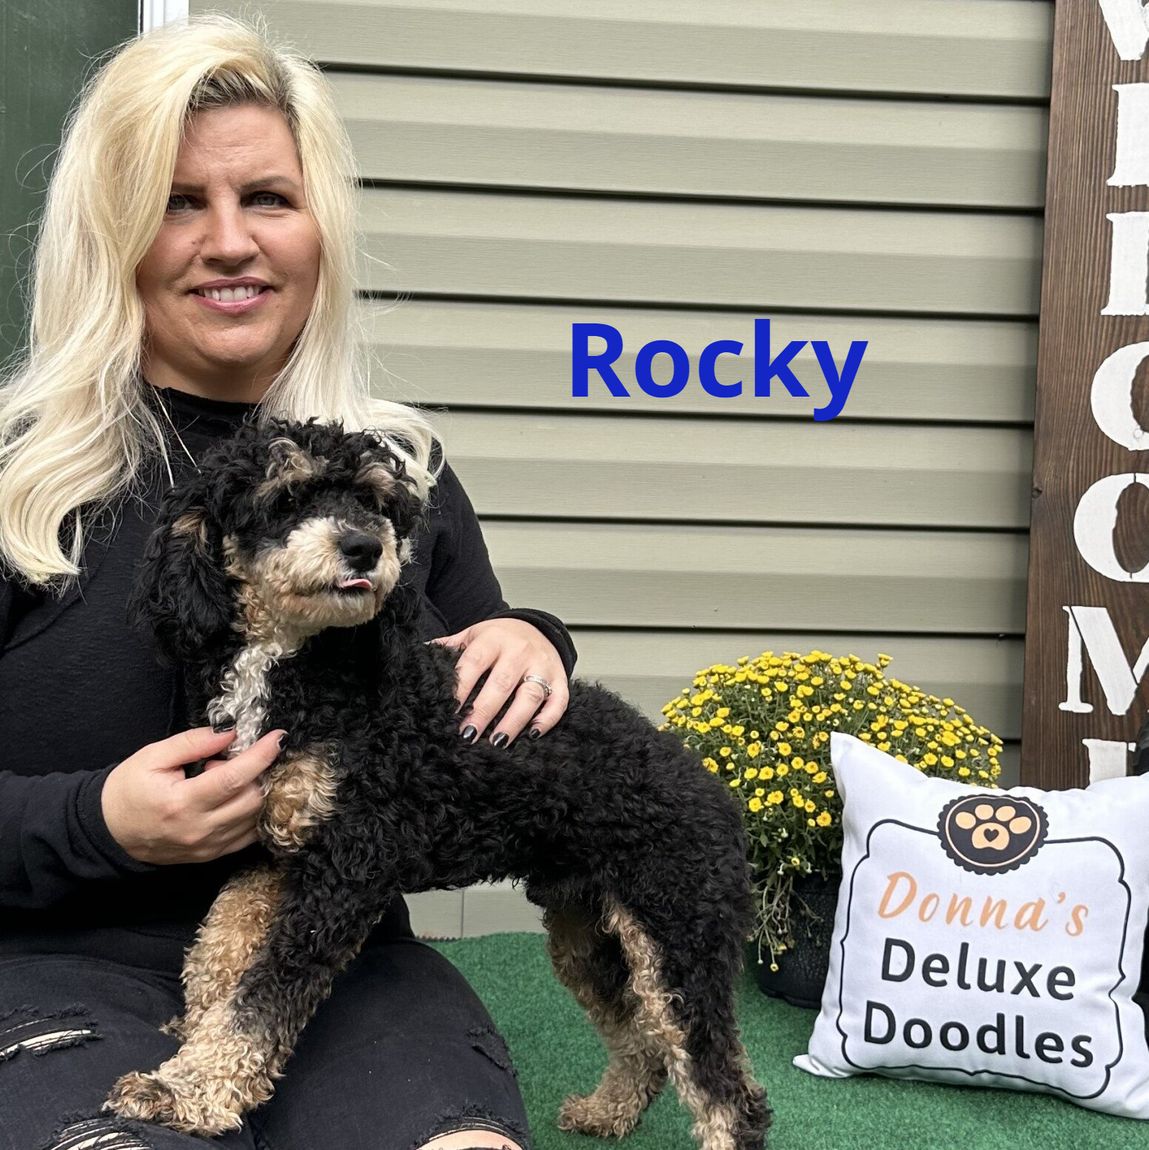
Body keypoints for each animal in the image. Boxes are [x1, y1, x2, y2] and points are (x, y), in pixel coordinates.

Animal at [105, 416, 772, 1150]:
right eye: (286, 498)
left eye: (374, 501)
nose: (365, 547)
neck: (310, 675)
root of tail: (716, 794)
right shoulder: (276, 849)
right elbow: (219, 948)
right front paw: (193, 1041)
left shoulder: (347, 870)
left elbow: (265, 994)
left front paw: (190, 1091)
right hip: (590, 935)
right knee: (646, 1044)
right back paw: (605, 1111)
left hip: (679, 934)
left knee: (728, 1092)